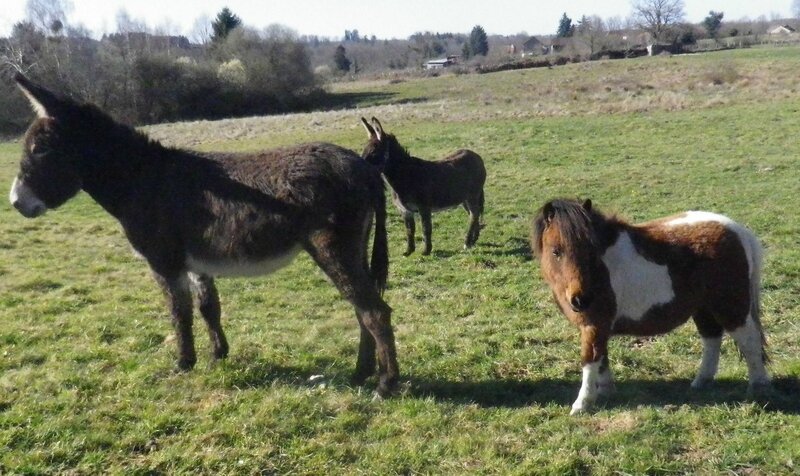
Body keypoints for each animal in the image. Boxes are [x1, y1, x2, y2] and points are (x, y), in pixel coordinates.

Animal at [8, 74, 400, 394]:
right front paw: (218, 355)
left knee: (374, 311)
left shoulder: (164, 263)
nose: (15, 202)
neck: (139, 179)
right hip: (356, 247)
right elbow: (209, 307)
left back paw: (386, 384)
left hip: (333, 249)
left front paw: (183, 364)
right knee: (361, 309)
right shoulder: (197, 261)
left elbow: (178, 313)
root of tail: (364, 167)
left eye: (40, 150)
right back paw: (360, 374)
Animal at [360, 116, 484, 255]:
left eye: (373, 152)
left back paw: (467, 243)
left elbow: (426, 228)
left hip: (473, 195)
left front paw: (426, 251)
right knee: (474, 215)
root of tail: (475, 155)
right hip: (464, 199)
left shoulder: (424, 208)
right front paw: (408, 251)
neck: (405, 176)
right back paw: (473, 240)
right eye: (363, 151)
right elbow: (409, 230)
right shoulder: (405, 211)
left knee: (474, 215)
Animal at [532, 197, 768, 412]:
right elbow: (602, 358)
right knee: (712, 339)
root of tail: (739, 231)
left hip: (732, 308)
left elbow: (590, 361)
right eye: (556, 251)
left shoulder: (594, 325)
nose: (581, 300)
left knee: (750, 342)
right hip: (704, 309)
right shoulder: (598, 326)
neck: (600, 268)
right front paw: (606, 392)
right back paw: (701, 382)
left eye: (591, 250)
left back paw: (758, 388)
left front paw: (582, 404)